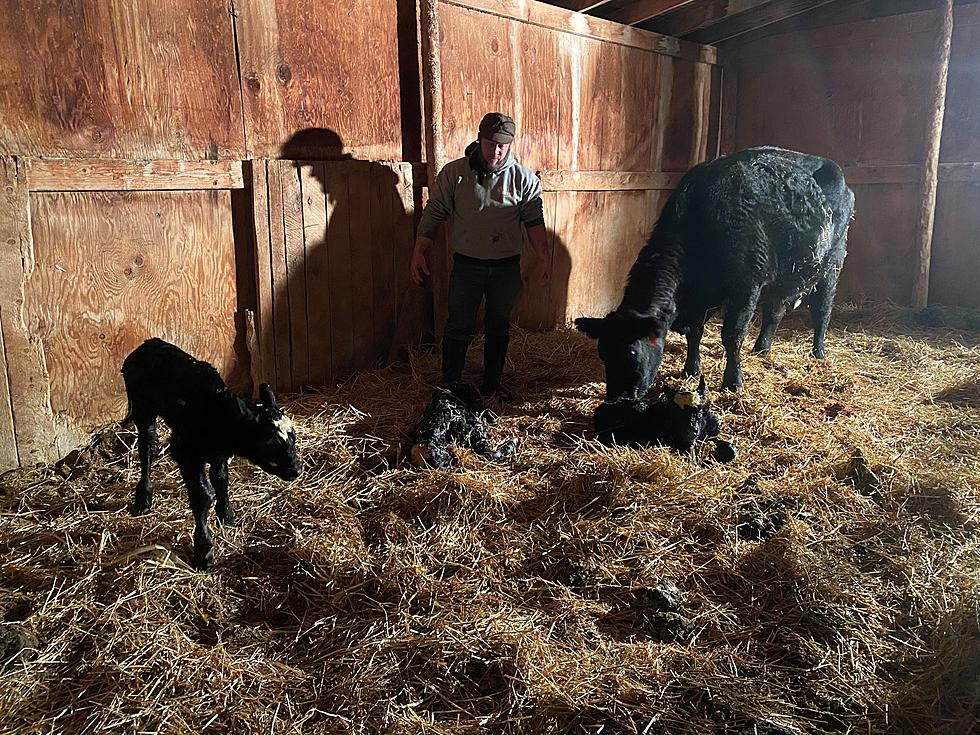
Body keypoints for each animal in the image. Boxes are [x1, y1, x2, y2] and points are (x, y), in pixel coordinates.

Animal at [121, 336, 302, 572]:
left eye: (293, 436)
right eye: (269, 442)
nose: (297, 469)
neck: (217, 415)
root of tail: (149, 343)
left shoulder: (219, 456)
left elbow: (221, 480)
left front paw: (226, 515)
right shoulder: (186, 454)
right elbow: (203, 497)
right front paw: (204, 550)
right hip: (143, 410)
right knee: (146, 447)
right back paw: (143, 498)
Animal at [576, 143, 848, 396]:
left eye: (632, 353)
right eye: (603, 353)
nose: (617, 397)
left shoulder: (746, 287)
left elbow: (732, 335)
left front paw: (733, 381)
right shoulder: (700, 298)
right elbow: (694, 332)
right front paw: (691, 369)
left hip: (832, 263)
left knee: (822, 311)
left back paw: (818, 353)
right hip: (781, 279)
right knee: (775, 312)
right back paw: (761, 349)